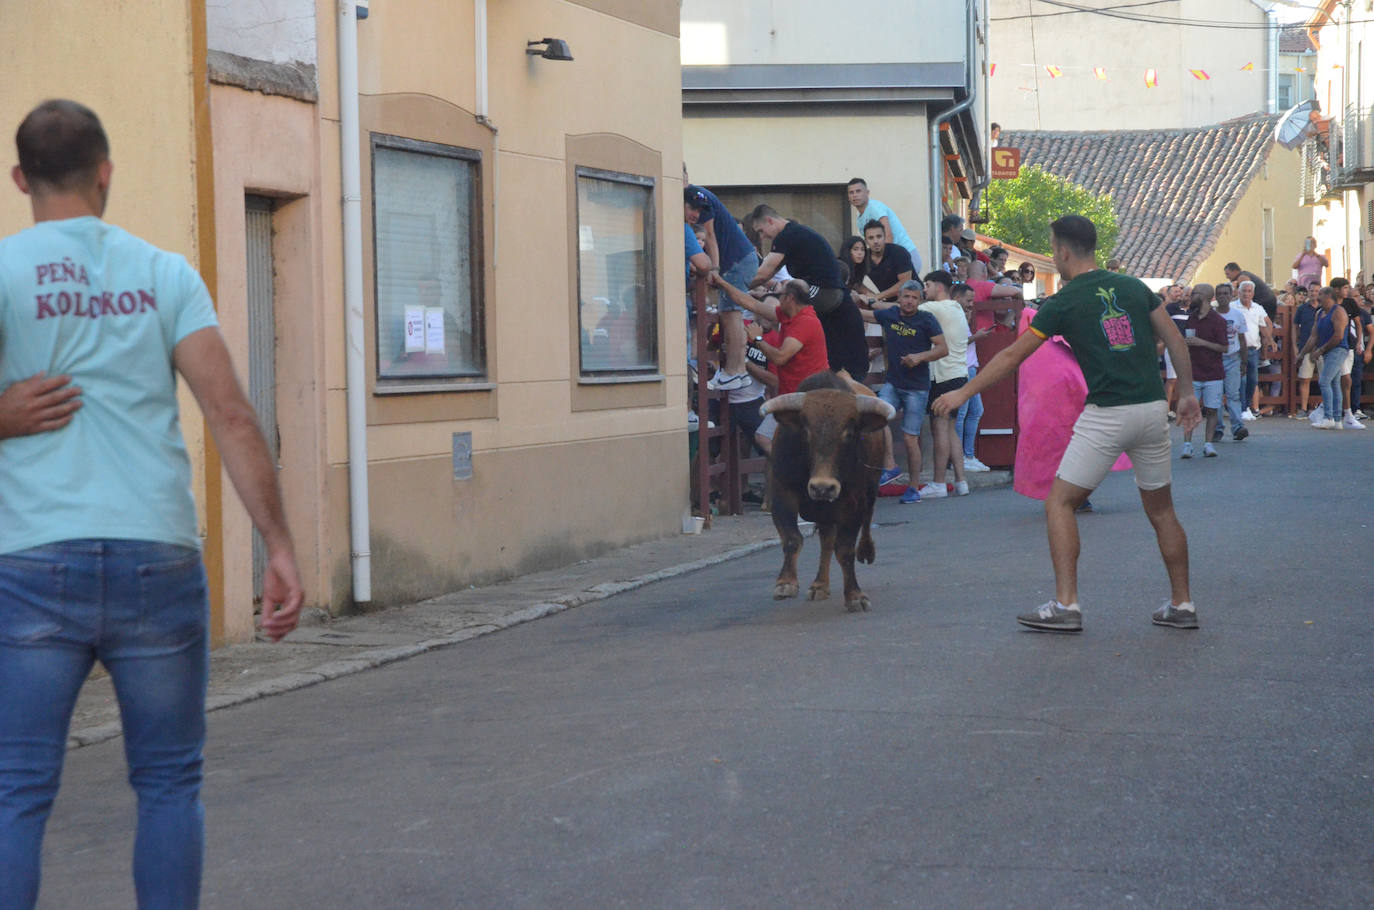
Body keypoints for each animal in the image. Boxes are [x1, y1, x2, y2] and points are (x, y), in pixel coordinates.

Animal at [758, 371, 895, 613]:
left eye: (849, 434)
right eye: (805, 432)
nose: (823, 487)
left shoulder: (854, 502)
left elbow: (845, 550)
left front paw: (855, 596)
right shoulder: (782, 492)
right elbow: (792, 538)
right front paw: (786, 583)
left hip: (870, 490)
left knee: (866, 520)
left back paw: (866, 551)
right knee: (827, 541)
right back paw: (820, 585)